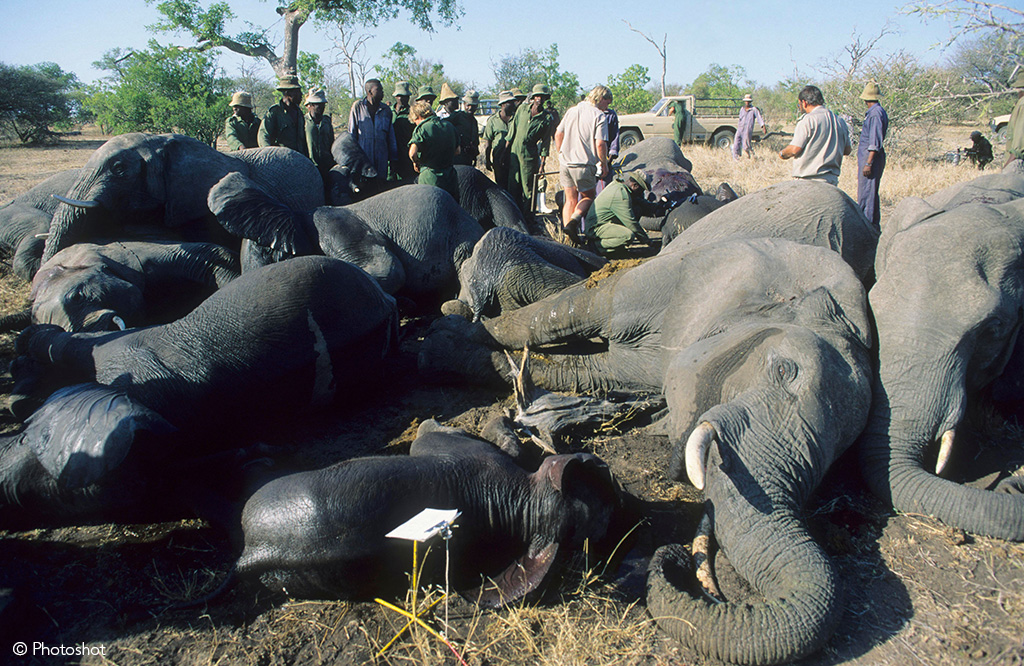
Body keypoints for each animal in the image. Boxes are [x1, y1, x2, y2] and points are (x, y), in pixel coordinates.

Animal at [419, 237, 873, 664]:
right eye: (783, 370)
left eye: (837, 455)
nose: (677, 559)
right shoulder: (679, 279)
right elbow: (563, 313)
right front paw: (442, 340)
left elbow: (587, 373)